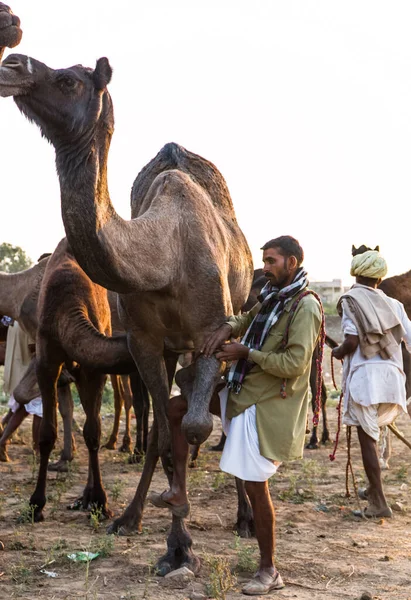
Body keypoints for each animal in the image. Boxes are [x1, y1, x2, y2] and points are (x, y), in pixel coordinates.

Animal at [0, 52, 254, 572]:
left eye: (68, 81)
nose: (12, 62)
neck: (165, 254)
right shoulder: (143, 342)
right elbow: (163, 432)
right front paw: (173, 541)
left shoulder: (213, 332)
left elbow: (196, 425)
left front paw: (185, 531)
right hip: (170, 348)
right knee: (159, 420)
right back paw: (131, 516)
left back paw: (243, 517)